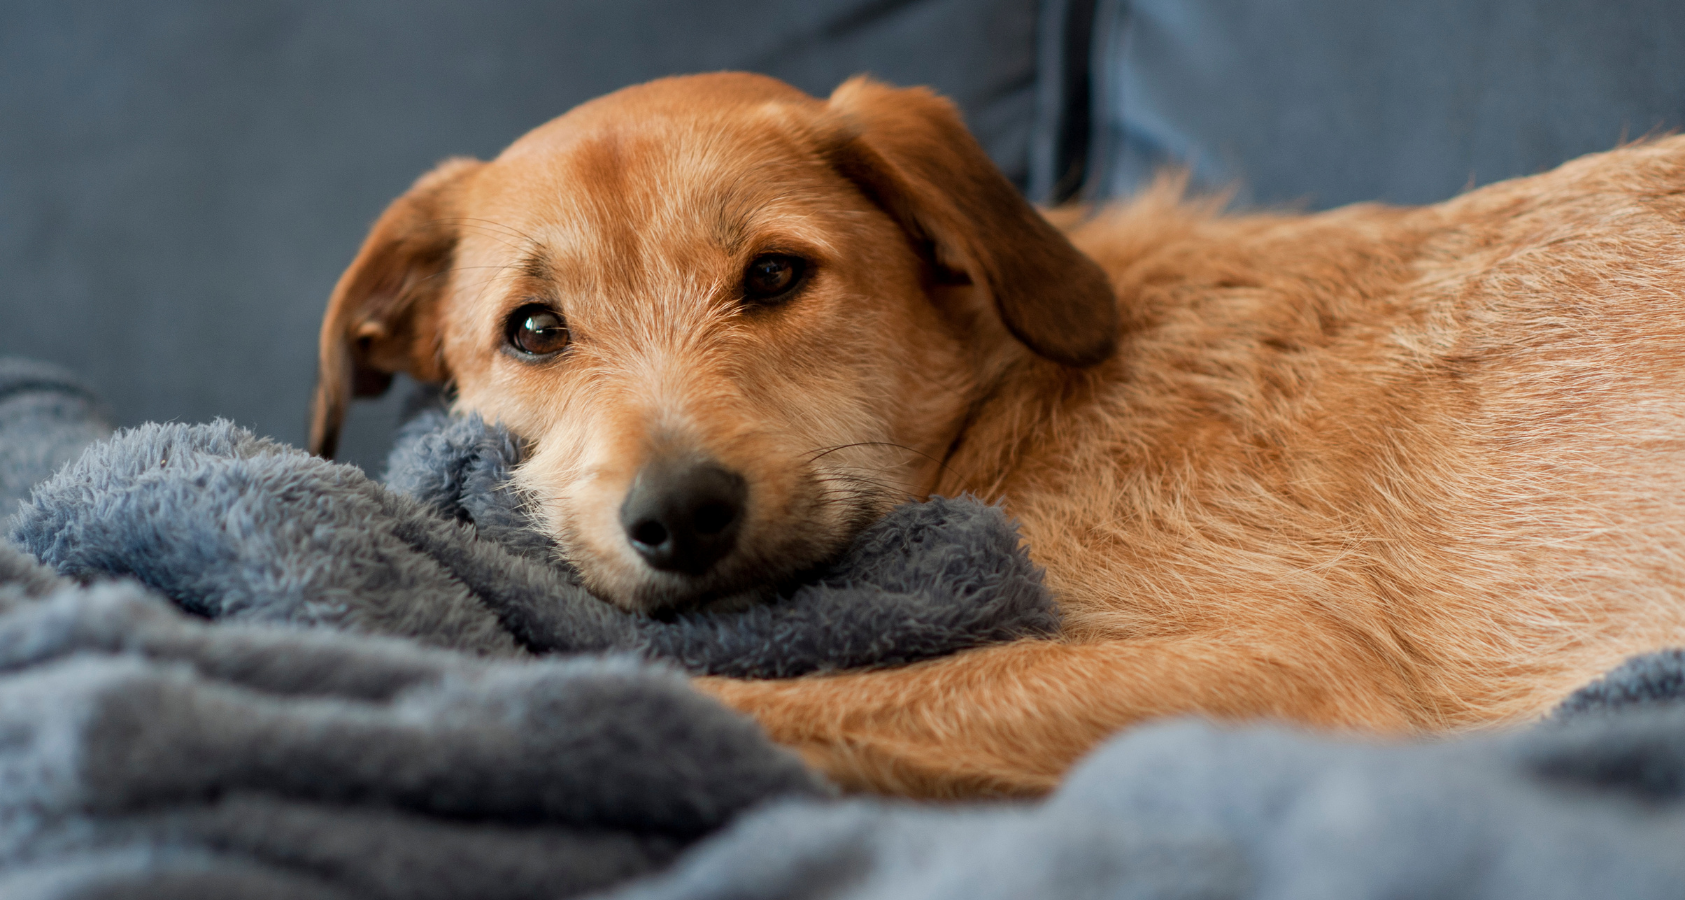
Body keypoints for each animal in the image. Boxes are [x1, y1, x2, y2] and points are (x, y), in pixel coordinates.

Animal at [310, 74, 1685, 802]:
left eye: (774, 276)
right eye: (533, 330)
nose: (680, 514)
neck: (1015, 401)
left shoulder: (1288, 668)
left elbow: (786, 695)